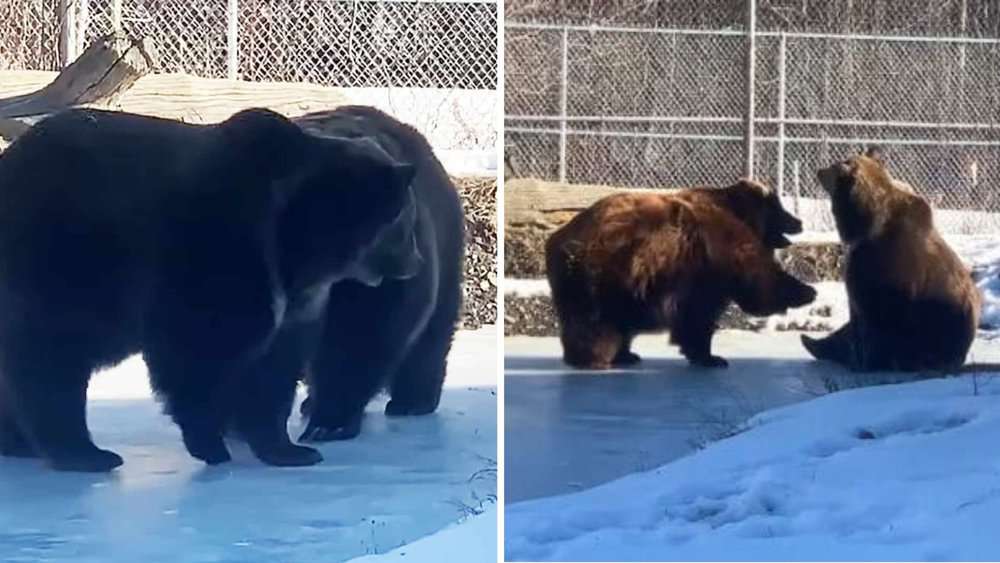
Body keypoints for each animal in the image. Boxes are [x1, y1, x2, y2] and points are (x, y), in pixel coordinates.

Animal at [0, 107, 419, 471]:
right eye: (405, 222)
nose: (415, 262)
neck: (298, 245)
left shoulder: (293, 304)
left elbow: (273, 372)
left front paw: (289, 449)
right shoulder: (217, 255)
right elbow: (198, 355)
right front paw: (210, 444)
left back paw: (22, 444)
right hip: (61, 260)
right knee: (52, 361)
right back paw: (84, 452)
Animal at [286, 106, 465, 442]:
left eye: (405, 216)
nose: (415, 262)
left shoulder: (367, 289)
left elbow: (361, 334)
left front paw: (330, 422)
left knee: (430, 337)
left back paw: (413, 400)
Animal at [545, 179, 816, 370]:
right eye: (779, 208)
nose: (799, 221)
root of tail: (559, 237)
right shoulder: (709, 259)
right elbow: (708, 308)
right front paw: (711, 357)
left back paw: (625, 354)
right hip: (605, 272)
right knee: (596, 319)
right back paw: (593, 357)